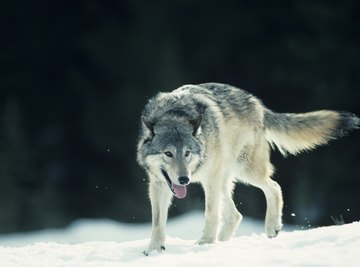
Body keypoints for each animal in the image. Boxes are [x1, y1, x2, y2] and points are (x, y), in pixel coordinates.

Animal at [136, 82, 358, 256]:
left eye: (187, 153)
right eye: (168, 153)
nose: (184, 180)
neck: (174, 115)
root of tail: (257, 104)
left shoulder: (210, 179)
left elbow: (210, 214)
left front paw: (205, 244)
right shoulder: (158, 184)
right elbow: (157, 222)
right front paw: (153, 250)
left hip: (242, 172)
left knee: (274, 187)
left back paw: (271, 227)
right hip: (224, 179)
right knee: (235, 215)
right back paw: (224, 241)